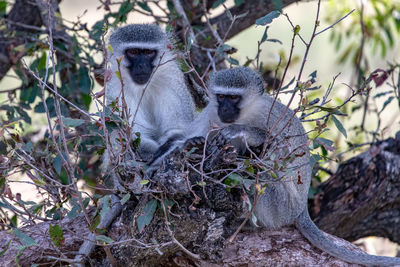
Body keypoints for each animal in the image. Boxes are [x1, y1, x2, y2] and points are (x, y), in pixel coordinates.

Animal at [105, 24, 195, 163]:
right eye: (133, 52)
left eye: (148, 52)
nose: (142, 65)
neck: (144, 88)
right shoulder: (116, 91)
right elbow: (134, 136)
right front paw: (152, 153)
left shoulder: (173, 82)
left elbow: (178, 129)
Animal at [188, 67, 400, 267]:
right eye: (221, 97)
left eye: (233, 98)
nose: (224, 110)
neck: (246, 114)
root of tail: (300, 209)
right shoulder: (211, 114)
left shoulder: (270, 116)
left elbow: (282, 151)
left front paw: (243, 131)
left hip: (281, 206)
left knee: (262, 173)